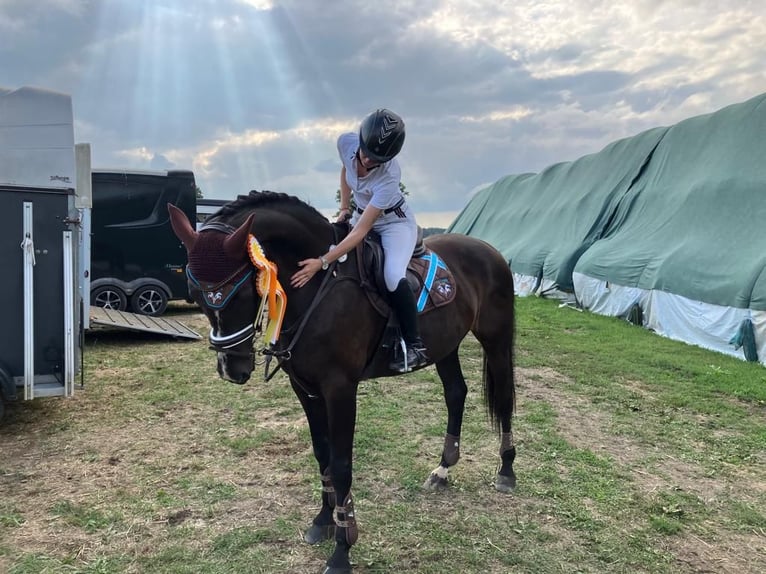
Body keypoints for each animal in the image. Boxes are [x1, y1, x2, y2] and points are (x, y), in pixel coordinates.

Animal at [168, 190, 517, 574]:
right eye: (194, 292)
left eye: (242, 292)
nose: (231, 368)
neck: (317, 286)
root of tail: (489, 250)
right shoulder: (305, 389)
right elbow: (323, 455)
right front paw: (322, 521)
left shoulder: (340, 390)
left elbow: (341, 465)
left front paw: (342, 549)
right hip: (446, 346)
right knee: (456, 393)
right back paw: (442, 470)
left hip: (496, 340)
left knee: (505, 398)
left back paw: (506, 470)